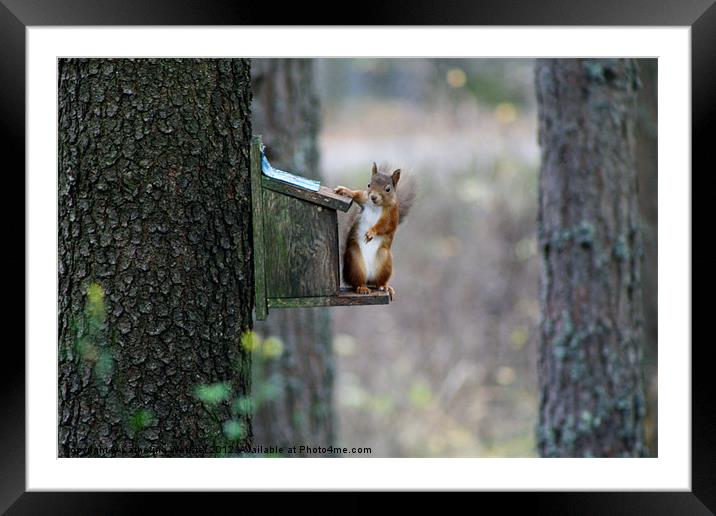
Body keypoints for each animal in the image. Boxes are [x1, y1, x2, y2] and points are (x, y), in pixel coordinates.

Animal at [334, 161, 414, 298]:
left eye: (388, 189)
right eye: (368, 184)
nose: (373, 197)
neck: (376, 206)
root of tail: (369, 279)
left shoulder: (392, 215)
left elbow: (385, 226)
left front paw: (371, 232)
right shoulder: (364, 199)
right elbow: (357, 194)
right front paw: (345, 191)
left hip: (385, 260)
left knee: (378, 283)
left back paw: (385, 287)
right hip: (355, 260)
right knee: (357, 282)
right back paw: (362, 288)